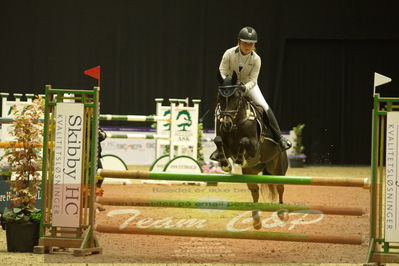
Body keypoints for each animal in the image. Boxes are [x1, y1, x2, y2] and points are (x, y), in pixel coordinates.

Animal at [214, 70, 290, 229]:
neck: (236, 123)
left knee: (280, 187)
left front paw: (239, 159)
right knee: (254, 191)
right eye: (219, 97)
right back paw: (256, 221)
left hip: (278, 169)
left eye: (236, 97)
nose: (226, 123)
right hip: (251, 172)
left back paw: (281, 213)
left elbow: (244, 141)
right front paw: (225, 164)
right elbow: (218, 140)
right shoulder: (227, 146)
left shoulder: (254, 147)